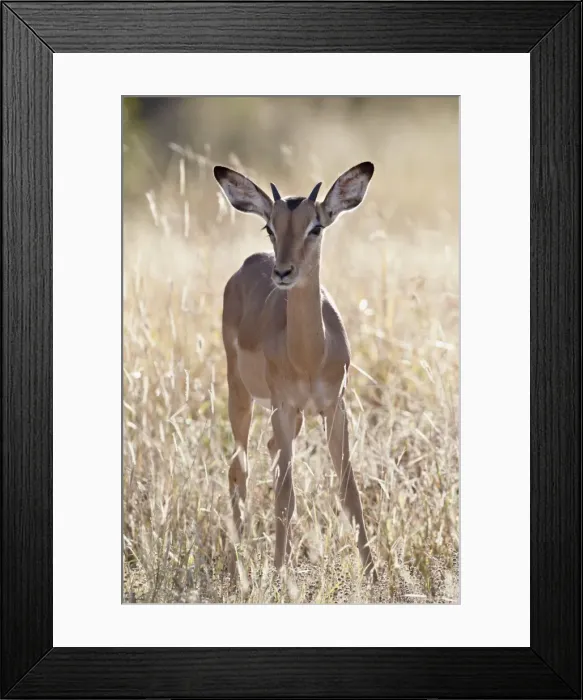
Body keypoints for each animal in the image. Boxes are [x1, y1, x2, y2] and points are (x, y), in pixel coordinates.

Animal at [214, 161, 376, 580]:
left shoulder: (335, 408)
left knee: (269, 452)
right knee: (238, 468)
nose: (283, 272)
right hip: (241, 394)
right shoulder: (283, 407)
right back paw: (239, 561)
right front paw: (278, 576)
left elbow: (350, 492)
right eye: (269, 226)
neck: (309, 356)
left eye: (315, 226)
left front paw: (374, 576)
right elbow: (287, 498)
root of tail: (248, 264)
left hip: (297, 415)